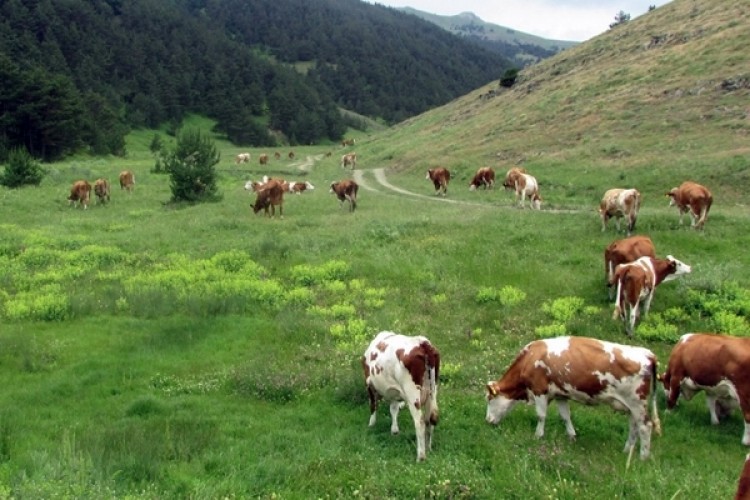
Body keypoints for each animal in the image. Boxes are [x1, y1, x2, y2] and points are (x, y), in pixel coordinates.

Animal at [364, 330, 440, 462]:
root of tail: (422, 342)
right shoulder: (395, 391)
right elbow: (394, 409)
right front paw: (394, 430)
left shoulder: (369, 382)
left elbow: (373, 405)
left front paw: (371, 424)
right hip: (432, 390)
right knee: (430, 418)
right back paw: (428, 448)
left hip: (412, 393)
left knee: (420, 422)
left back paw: (421, 456)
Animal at [484, 336, 660, 460]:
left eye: (489, 399)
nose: (487, 420)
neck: (530, 357)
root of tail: (648, 354)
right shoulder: (561, 394)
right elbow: (565, 416)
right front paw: (572, 436)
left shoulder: (540, 390)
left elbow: (541, 416)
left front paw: (538, 436)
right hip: (631, 406)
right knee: (634, 427)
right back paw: (626, 451)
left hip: (637, 403)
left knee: (645, 426)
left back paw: (643, 457)